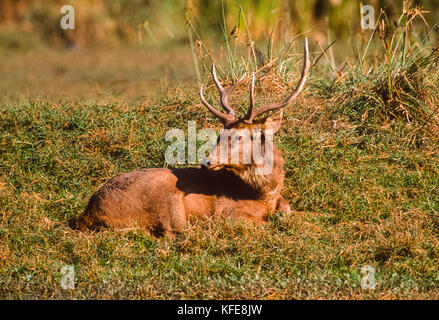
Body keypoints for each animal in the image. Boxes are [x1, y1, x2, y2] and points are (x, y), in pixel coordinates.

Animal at [74, 38, 312, 236]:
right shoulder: (228, 213)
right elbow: (263, 221)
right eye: (220, 135)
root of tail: (88, 214)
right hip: (166, 197)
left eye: (240, 137)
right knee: (174, 230)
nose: (206, 162)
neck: (264, 195)